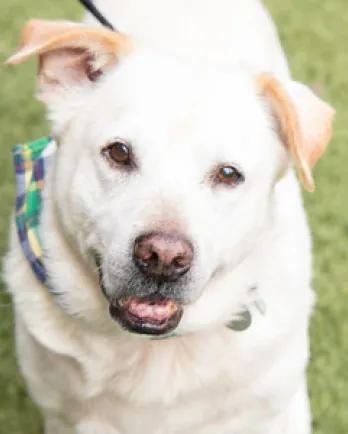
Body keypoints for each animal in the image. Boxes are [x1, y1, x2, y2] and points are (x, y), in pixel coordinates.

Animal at [3, 0, 334, 434]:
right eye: (119, 152)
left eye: (229, 174)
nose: (163, 257)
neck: (154, 351)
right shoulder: (63, 417)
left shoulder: (279, 411)